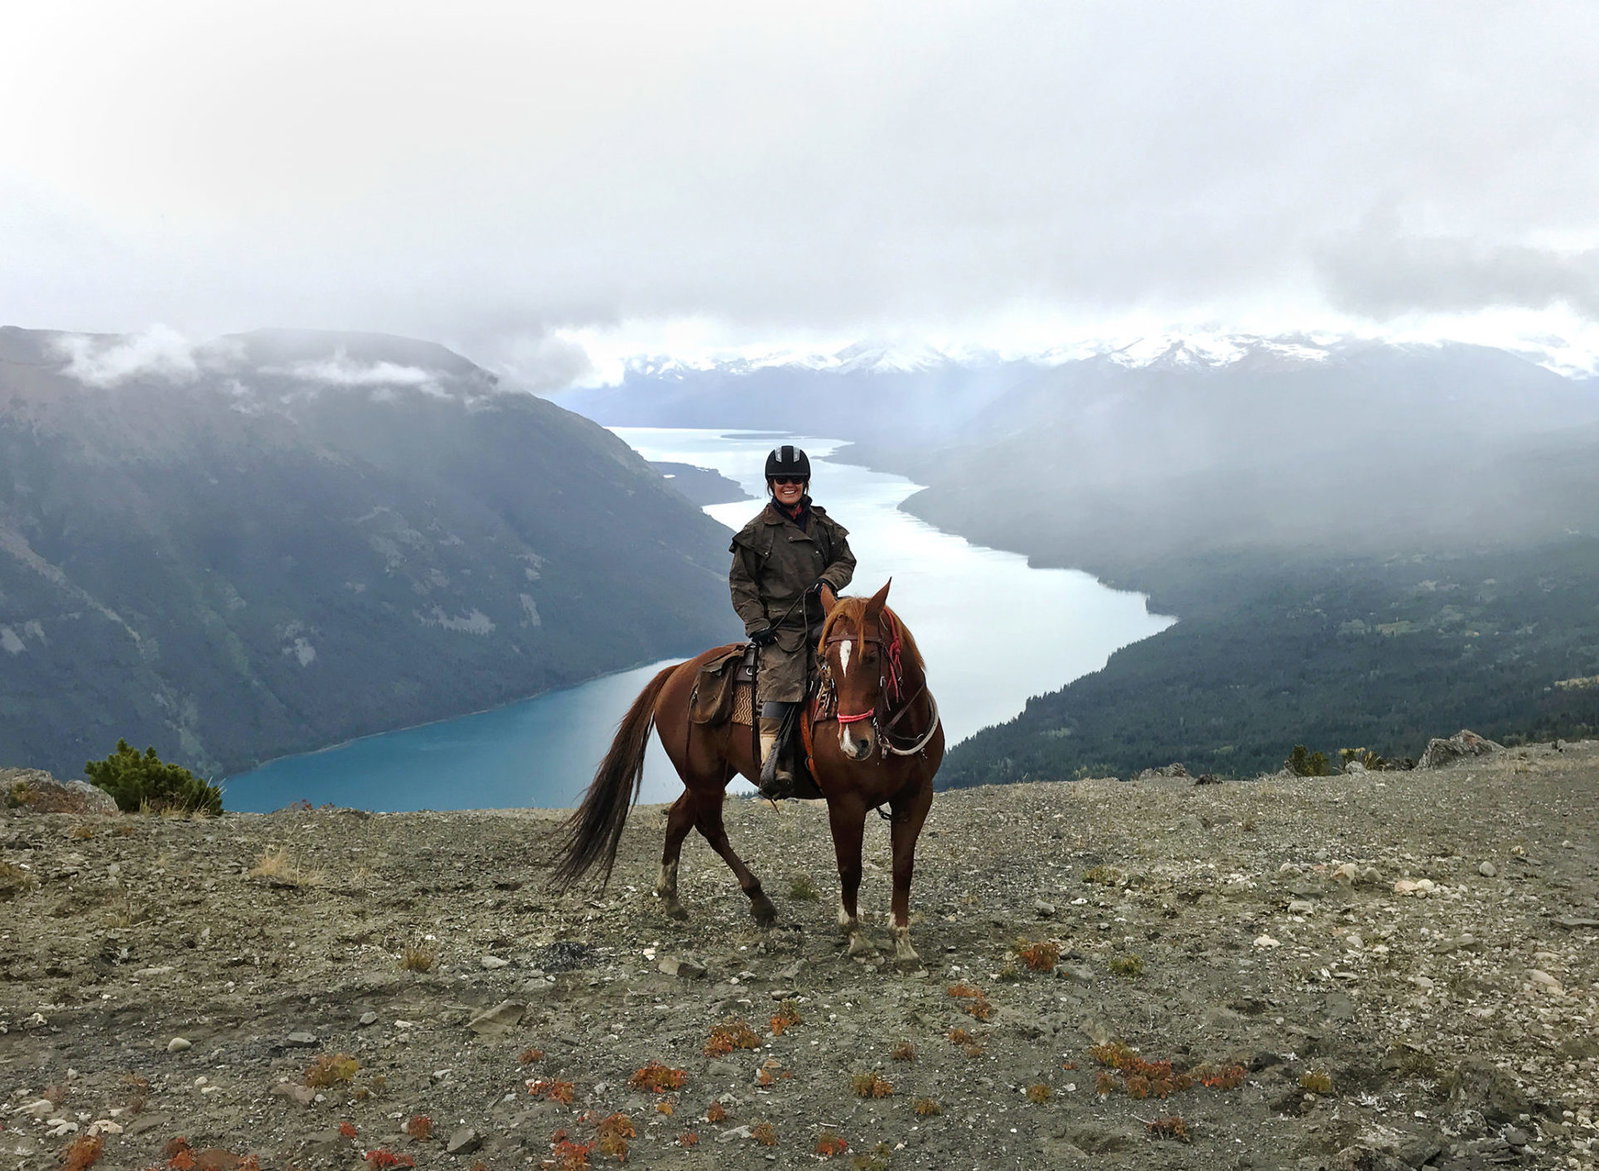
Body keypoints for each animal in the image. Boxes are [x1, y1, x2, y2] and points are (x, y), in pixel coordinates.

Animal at [550, 580, 944, 967]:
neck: (895, 732)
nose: (854, 743)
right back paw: (760, 902)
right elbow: (851, 868)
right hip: (705, 777)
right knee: (710, 828)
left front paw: (902, 941)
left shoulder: (916, 798)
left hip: (710, 775)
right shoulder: (845, 802)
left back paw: (671, 898)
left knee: (679, 817)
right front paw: (855, 936)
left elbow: (903, 866)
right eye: (826, 662)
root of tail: (676, 672)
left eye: (871, 658)